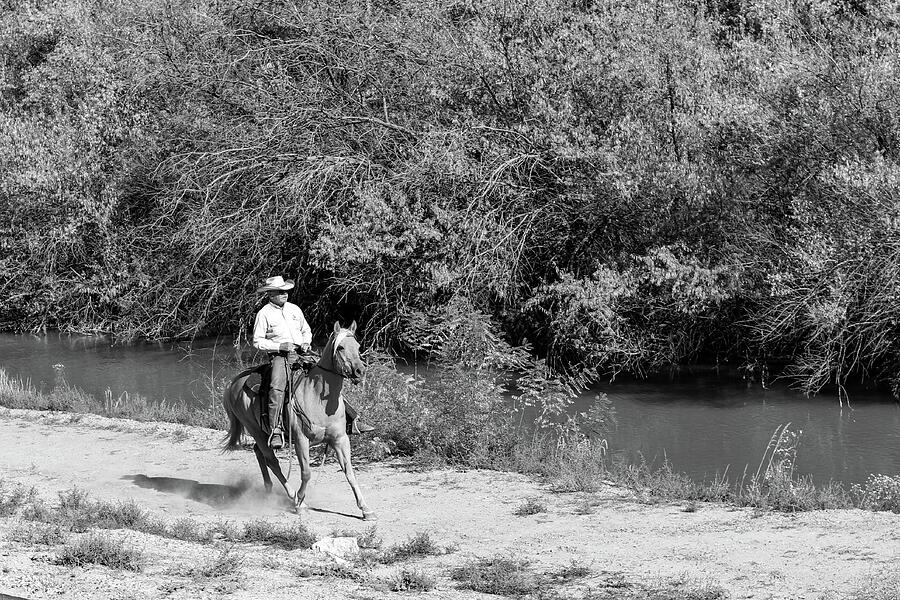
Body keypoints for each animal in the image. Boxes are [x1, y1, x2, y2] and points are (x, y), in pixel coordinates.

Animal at [222, 318, 376, 520]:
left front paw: (366, 509)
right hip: (255, 430)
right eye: (341, 347)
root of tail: (235, 383)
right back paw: (294, 498)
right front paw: (301, 502)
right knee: (272, 461)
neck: (316, 396)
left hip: (262, 433)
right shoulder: (301, 439)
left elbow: (349, 473)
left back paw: (269, 489)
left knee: (259, 453)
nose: (359, 371)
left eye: (358, 346)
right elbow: (306, 472)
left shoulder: (340, 439)